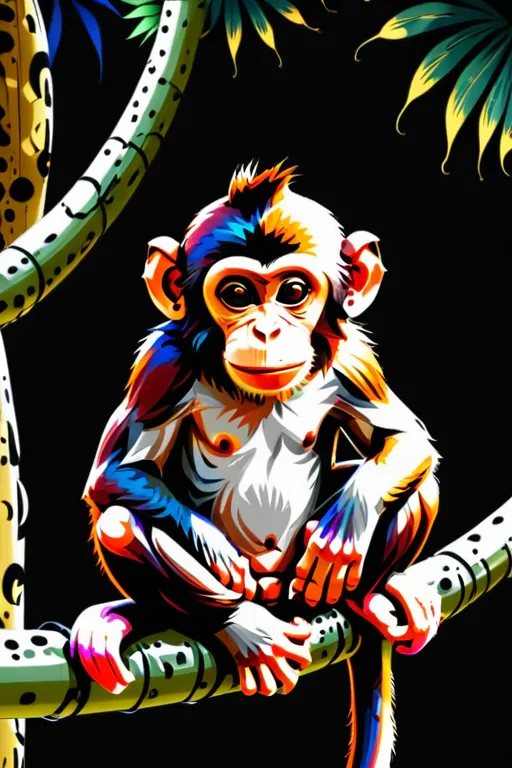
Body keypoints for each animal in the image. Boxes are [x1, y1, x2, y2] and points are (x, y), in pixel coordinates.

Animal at [70, 162, 441, 767]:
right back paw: (242, 626)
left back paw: (370, 596)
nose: (266, 329)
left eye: (293, 291)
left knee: (421, 488)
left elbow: (405, 441)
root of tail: (276, 595)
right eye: (238, 293)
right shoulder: (162, 364)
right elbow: (115, 474)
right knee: (119, 522)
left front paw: (344, 529)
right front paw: (214, 547)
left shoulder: (355, 357)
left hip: (300, 587)